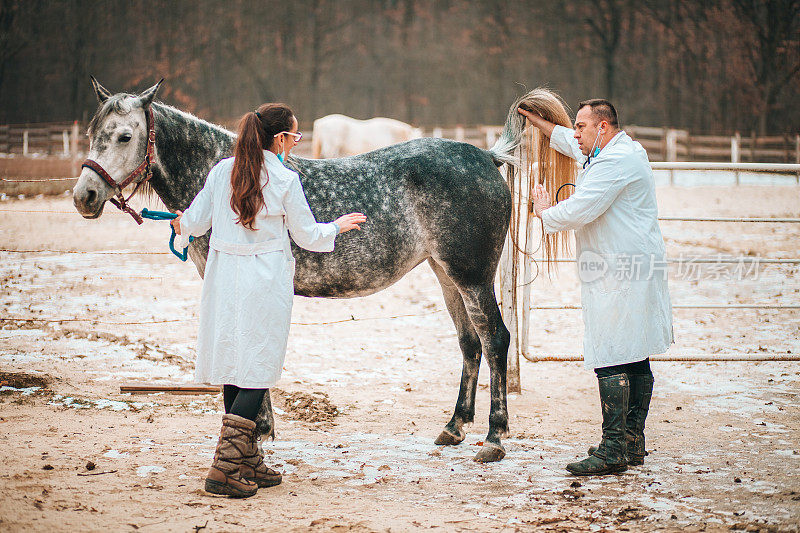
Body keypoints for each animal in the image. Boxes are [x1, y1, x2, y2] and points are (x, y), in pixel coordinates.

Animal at [72, 78, 528, 462]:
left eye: (125, 136)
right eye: (93, 133)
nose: (84, 196)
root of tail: (486, 155)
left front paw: (257, 431)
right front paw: (260, 430)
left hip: (472, 277)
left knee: (494, 340)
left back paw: (494, 437)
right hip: (446, 274)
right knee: (469, 344)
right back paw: (454, 427)